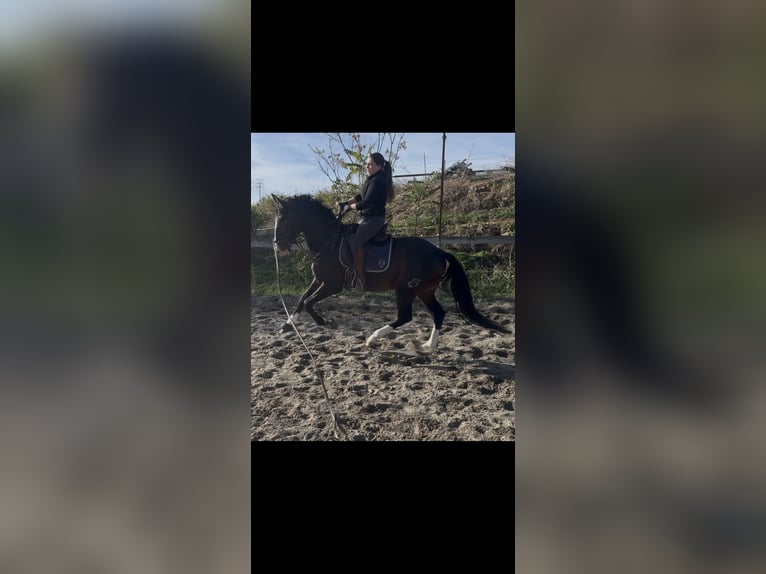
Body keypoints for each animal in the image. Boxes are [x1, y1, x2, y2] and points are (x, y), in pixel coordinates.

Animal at [271, 194, 509, 352]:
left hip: (405, 289)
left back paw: (373, 338)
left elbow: (309, 302)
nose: (278, 247)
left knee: (405, 316)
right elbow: (302, 299)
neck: (329, 240)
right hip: (424, 291)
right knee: (438, 313)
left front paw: (326, 323)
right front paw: (287, 325)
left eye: (283, 219)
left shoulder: (332, 285)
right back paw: (428, 346)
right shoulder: (319, 280)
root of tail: (440, 252)